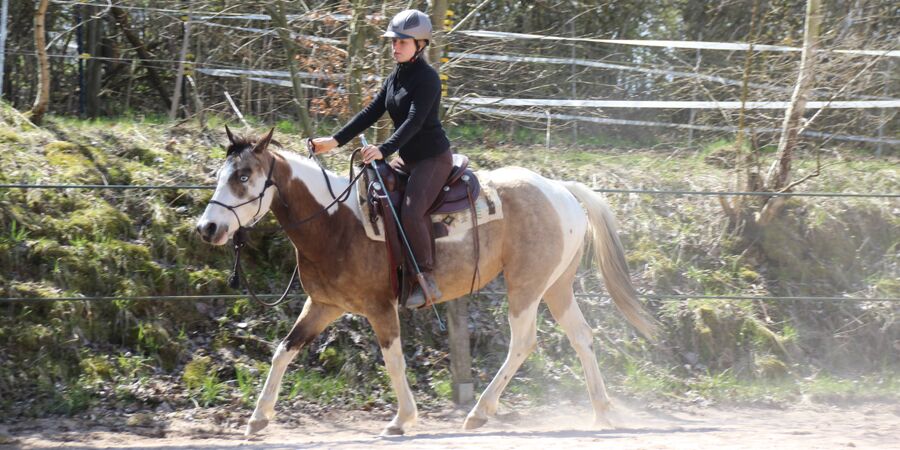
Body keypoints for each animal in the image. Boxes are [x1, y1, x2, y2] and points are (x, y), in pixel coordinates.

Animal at [197, 126, 652, 436]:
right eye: (221, 175)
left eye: (243, 176)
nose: (207, 228)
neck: (336, 222)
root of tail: (560, 188)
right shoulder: (323, 305)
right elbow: (283, 351)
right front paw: (258, 417)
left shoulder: (379, 307)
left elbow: (394, 361)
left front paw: (403, 419)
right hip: (556, 287)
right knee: (582, 336)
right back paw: (602, 410)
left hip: (526, 287)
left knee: (523, 342)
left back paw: (480, 411)